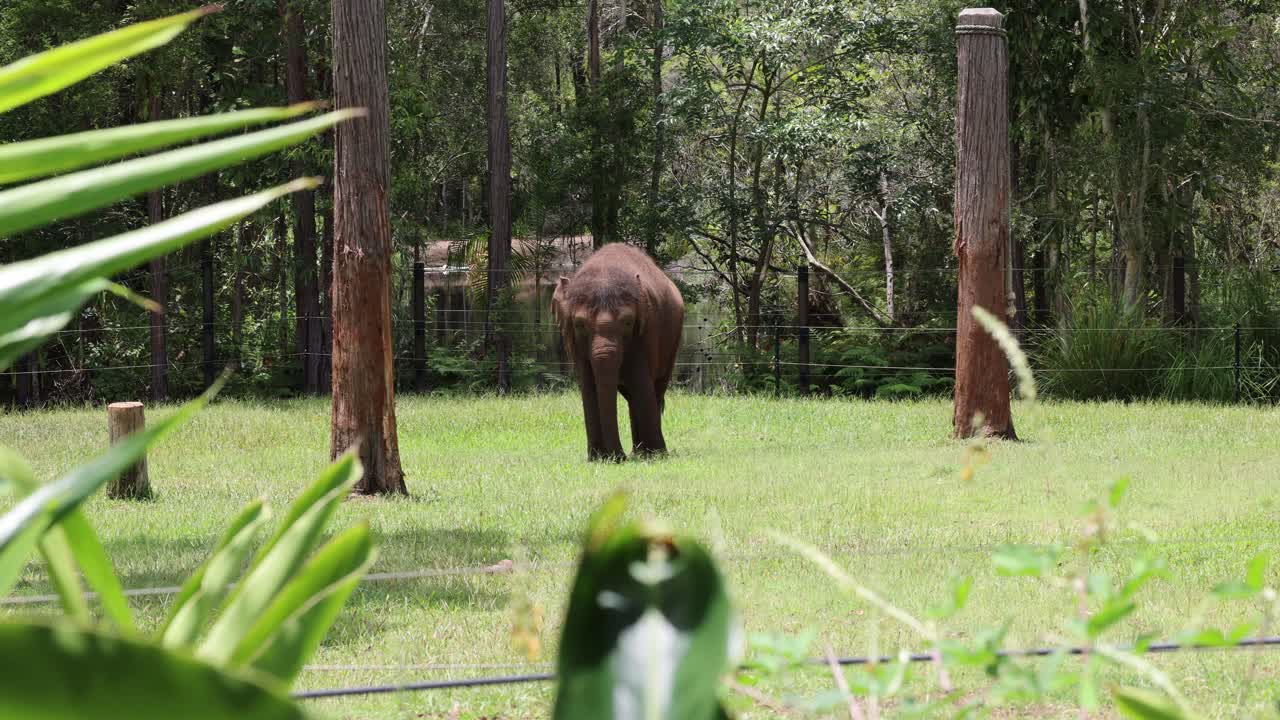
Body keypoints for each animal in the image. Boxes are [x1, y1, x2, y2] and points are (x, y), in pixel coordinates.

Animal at [553, 244, 684, 461]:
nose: (618, 457)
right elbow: (588, 385)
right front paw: (597, 458)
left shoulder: (646, 331)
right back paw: (637, 452)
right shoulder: (573, 341)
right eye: (579, 324)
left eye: (628, 322)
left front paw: (656, 456)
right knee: (631, 396)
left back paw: (648, 453)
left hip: (672, 342)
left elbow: (640, 380)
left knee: (654, 388)